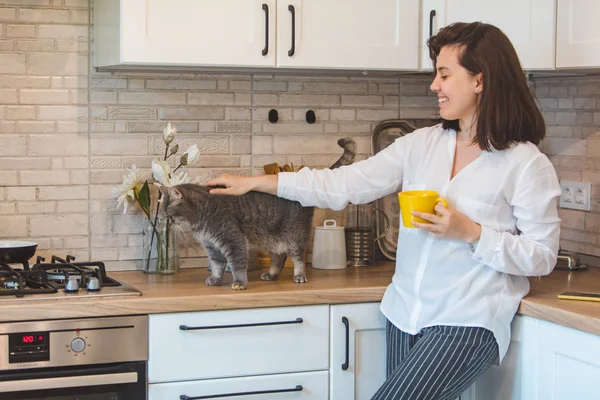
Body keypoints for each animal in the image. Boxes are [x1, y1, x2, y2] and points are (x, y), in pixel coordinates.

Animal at [162, 139, 354, 290]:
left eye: (168, 214)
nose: (168, 222)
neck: (200, 214)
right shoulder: (212, 246)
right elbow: (217, 265)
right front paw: (216, 279)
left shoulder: (233, 240)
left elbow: (238, 265)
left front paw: (239, 282)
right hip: (270, 239)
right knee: (279, 257)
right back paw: (271, 274)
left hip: (294, 236)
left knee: (297, 258)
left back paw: (299, 275)